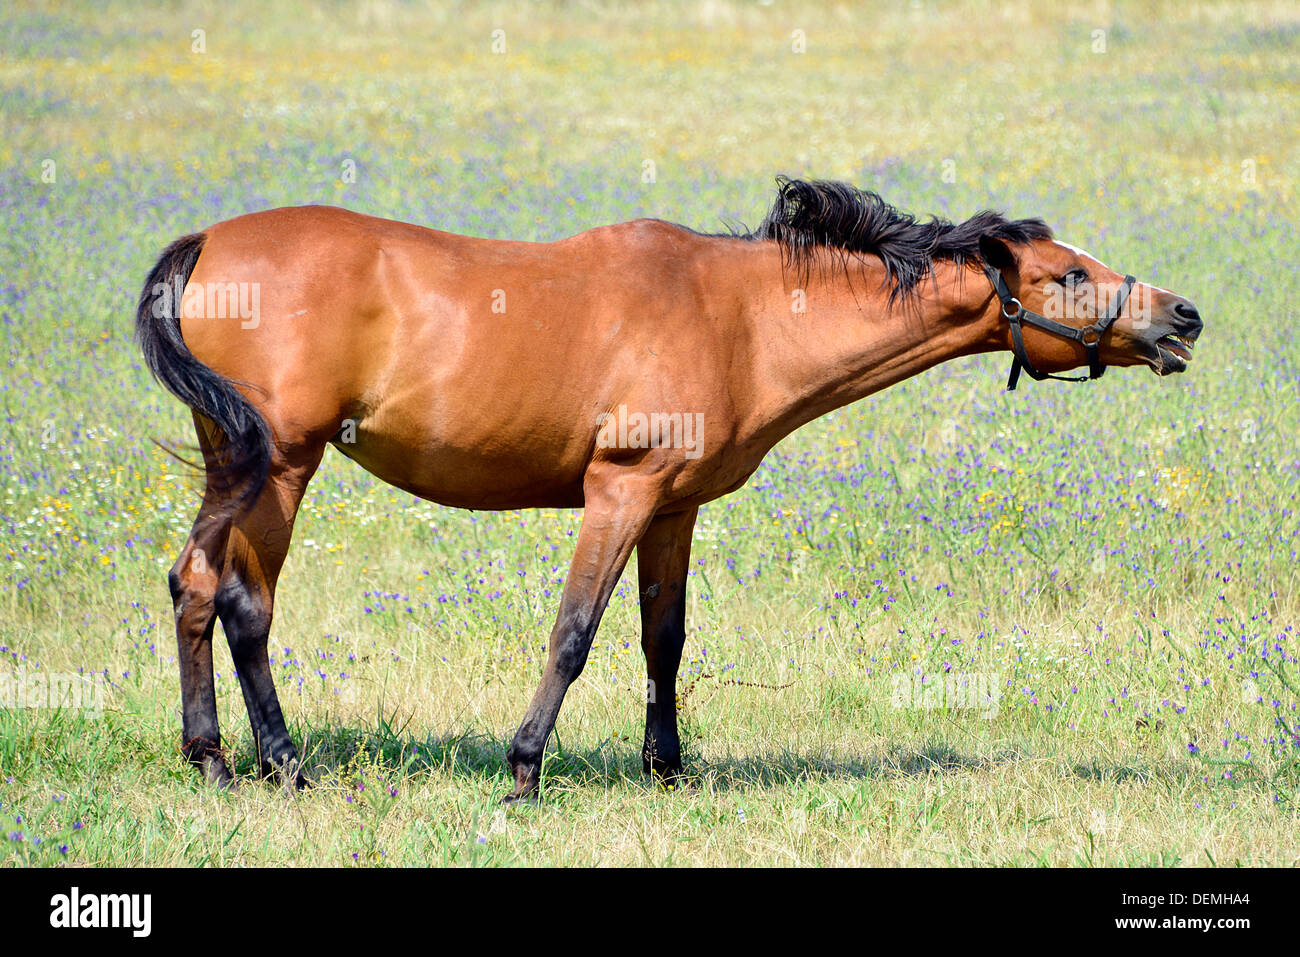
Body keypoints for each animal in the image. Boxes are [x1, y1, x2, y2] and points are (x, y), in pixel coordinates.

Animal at [137, 179, 1201, 800]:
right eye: (1069, 273)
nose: (1182, 317)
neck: (740, 316)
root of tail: (209, 241)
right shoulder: (622, 490)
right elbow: (574, 632)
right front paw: (523, 772)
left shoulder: (673, 508)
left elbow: (664, 640)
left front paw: (668, 768)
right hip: (283, 466)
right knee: (244, 604)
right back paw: (283, 765)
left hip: (234, 461)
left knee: (193, 585)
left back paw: (211, 760)